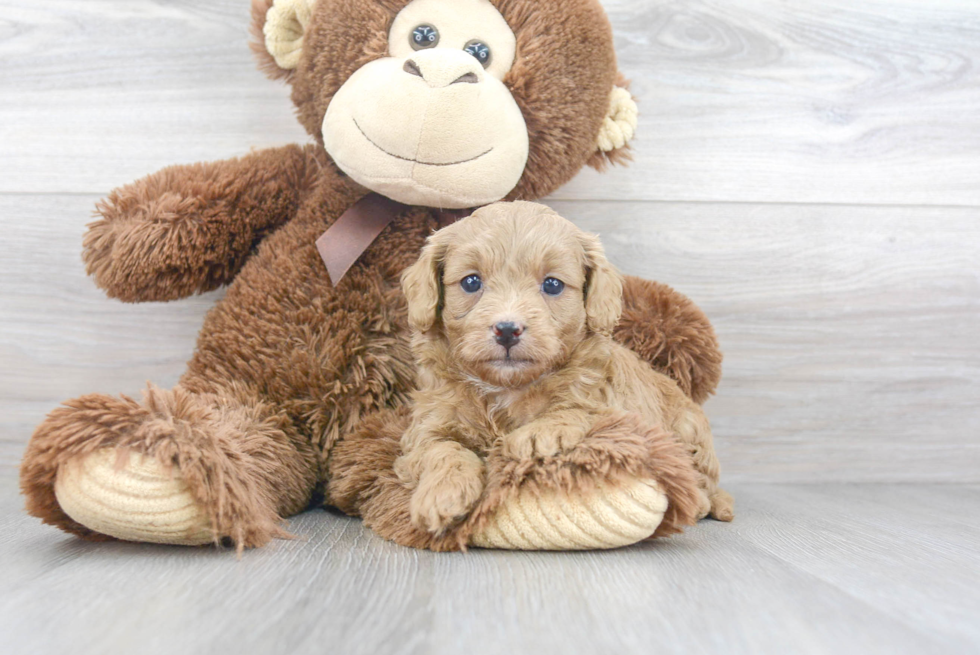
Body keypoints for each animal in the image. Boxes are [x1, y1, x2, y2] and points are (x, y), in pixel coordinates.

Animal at [394, 202, 732, 536]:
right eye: (471, 282)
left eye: (553, 284)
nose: (507, 329)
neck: (506, 388)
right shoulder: (426, 426)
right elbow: (443, 449)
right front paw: (443, 494)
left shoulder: (613, 408)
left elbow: (578, 409)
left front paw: (537, 434)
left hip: (689, 431)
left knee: (700, 481)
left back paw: (710, 502)